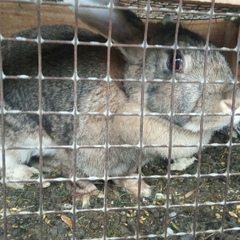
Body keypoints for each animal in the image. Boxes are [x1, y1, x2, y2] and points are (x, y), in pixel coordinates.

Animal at [0, 0, 240, 206]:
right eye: (175, 61)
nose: (234, 102)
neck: (130, 99)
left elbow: (127, 176)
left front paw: (141, 189)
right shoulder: (72, 147)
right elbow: (73, 171)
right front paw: (88, 193)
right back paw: (27, 175)